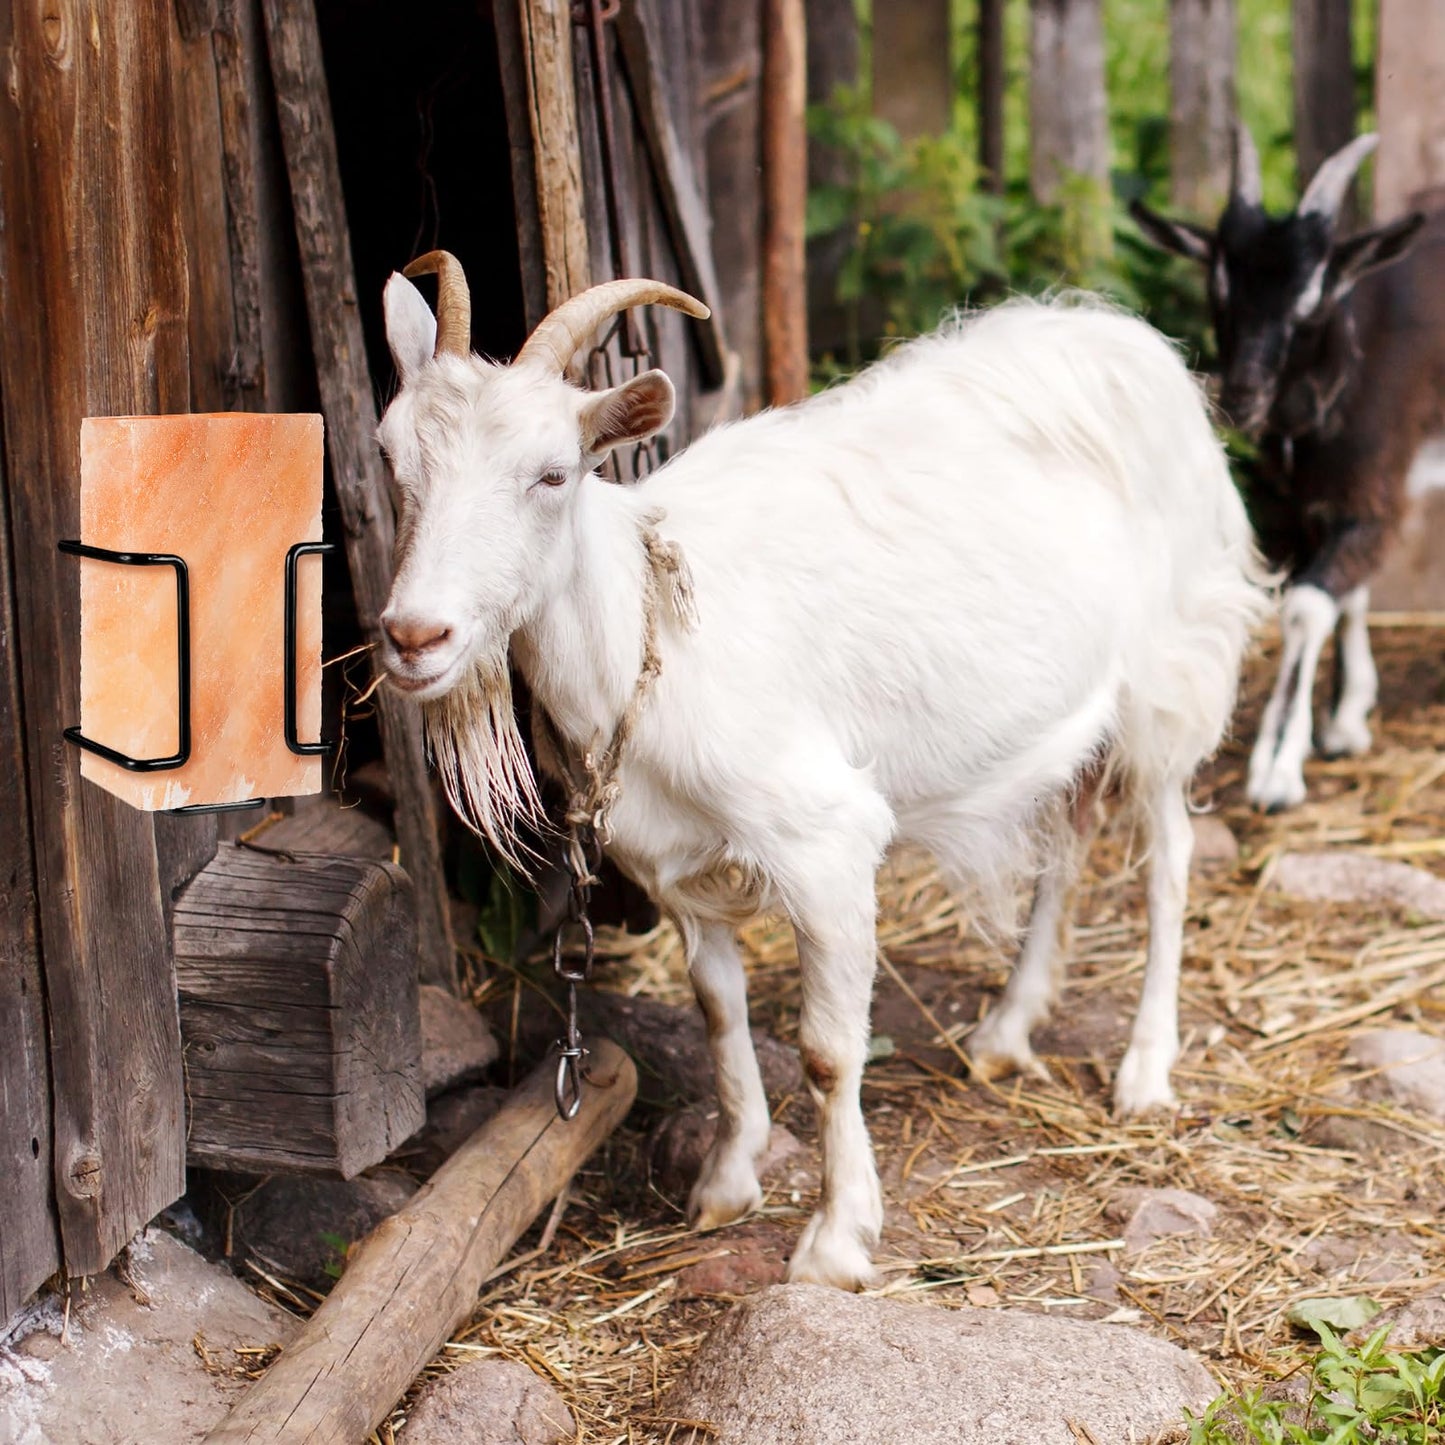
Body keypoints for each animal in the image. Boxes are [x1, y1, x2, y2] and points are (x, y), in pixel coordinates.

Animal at [375, 251, 1268, 1290]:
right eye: (392, 459)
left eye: (552, 473)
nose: (414, 636)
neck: (650, 626)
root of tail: (1129, 340)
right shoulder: (675, 865)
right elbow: (720, 1018)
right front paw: (726, 1182)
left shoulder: (825, 843)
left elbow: (829, 1051)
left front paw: (836, 1241)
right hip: (1073, 715)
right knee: (1068, 842)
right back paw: (1006, 1030)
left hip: (1170, 674)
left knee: (1169, 858)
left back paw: (1144, 1068)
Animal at [1133, 126, 1443, 812]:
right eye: (1219, 292)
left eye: (1310, 303)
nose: (1242, 393)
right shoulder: (1304, 506)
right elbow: (1345, 595)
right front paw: (1346, 717)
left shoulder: (1376, 492)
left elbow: (1306, 606)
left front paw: (1277, 769)